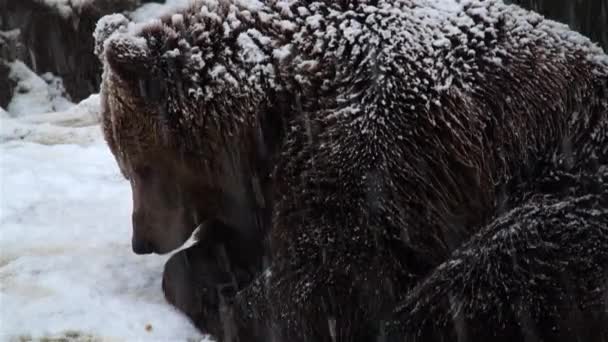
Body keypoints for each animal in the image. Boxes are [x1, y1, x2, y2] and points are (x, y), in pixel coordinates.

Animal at [95, 0, 608, 340]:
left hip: (568, 187)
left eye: (140, 167)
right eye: (123, 165)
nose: (142, 240)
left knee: (483, 275)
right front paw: (213, 266)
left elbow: (328, 283)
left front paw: (222, 298)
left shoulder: (383, 147)